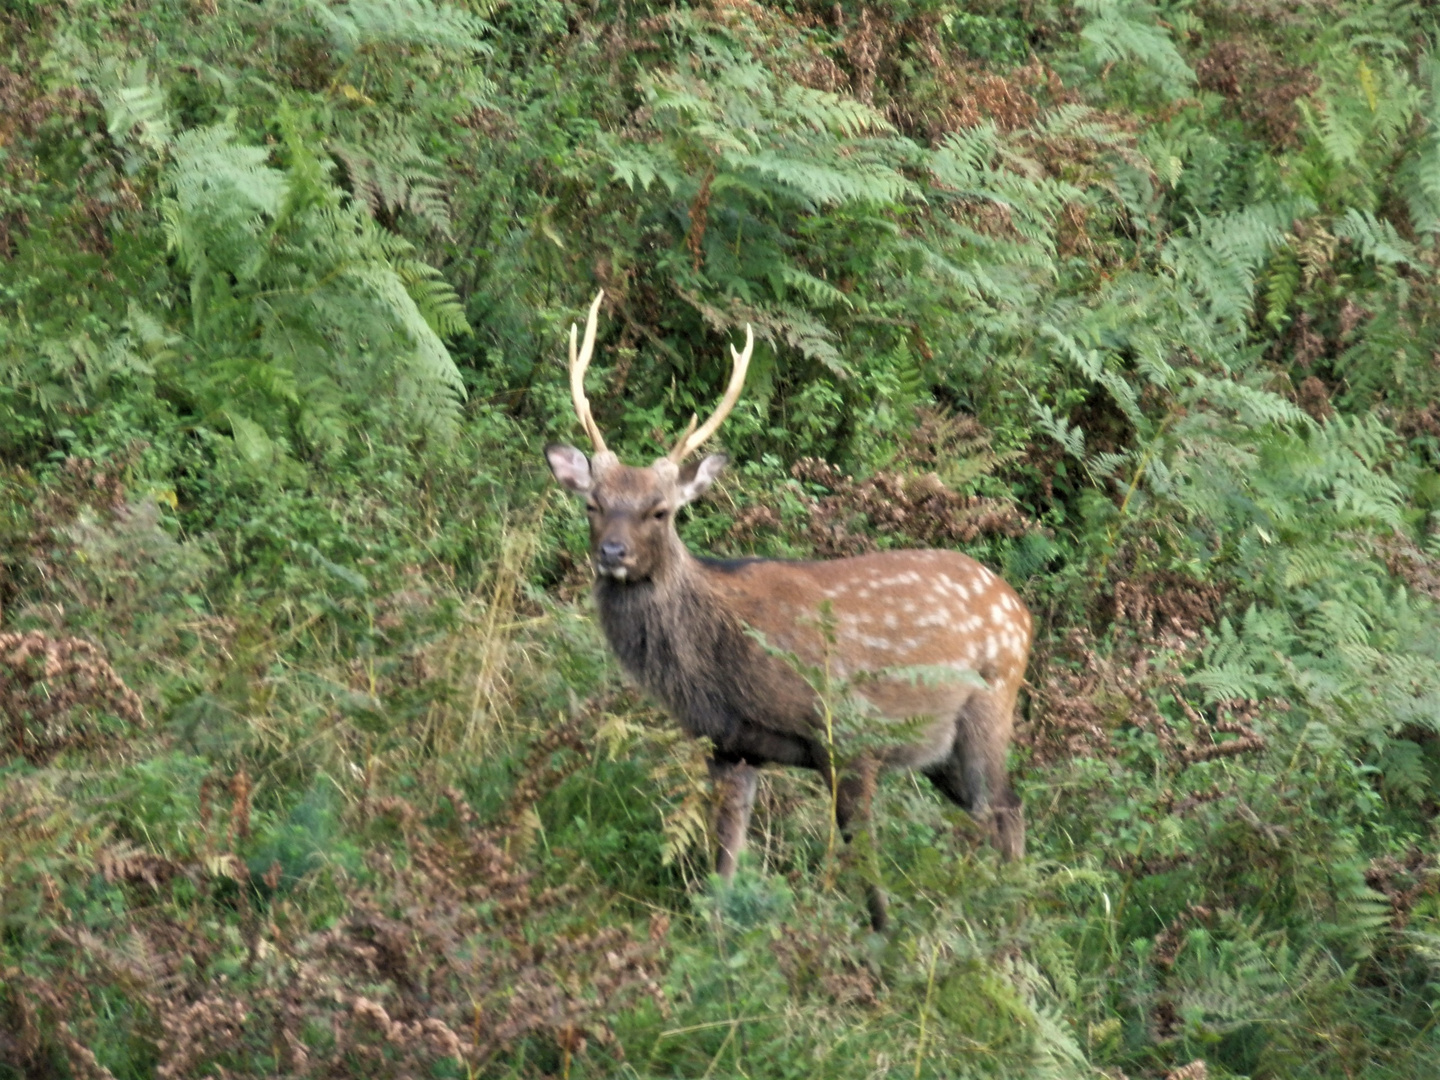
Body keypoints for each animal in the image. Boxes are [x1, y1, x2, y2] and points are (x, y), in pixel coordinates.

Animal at [544, 292, 1031, 933]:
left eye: (660, 510)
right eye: (594, 504)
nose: (613, 553)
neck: (725, 660)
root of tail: (1022, 610)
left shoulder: (848, 733)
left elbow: (865, 864)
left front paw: (885, 942)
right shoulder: (731, 742)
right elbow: (725, 855)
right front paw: (716, 933)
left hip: (990, 705)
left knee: (1004, 809)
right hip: (941, 751)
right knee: (996, 812)